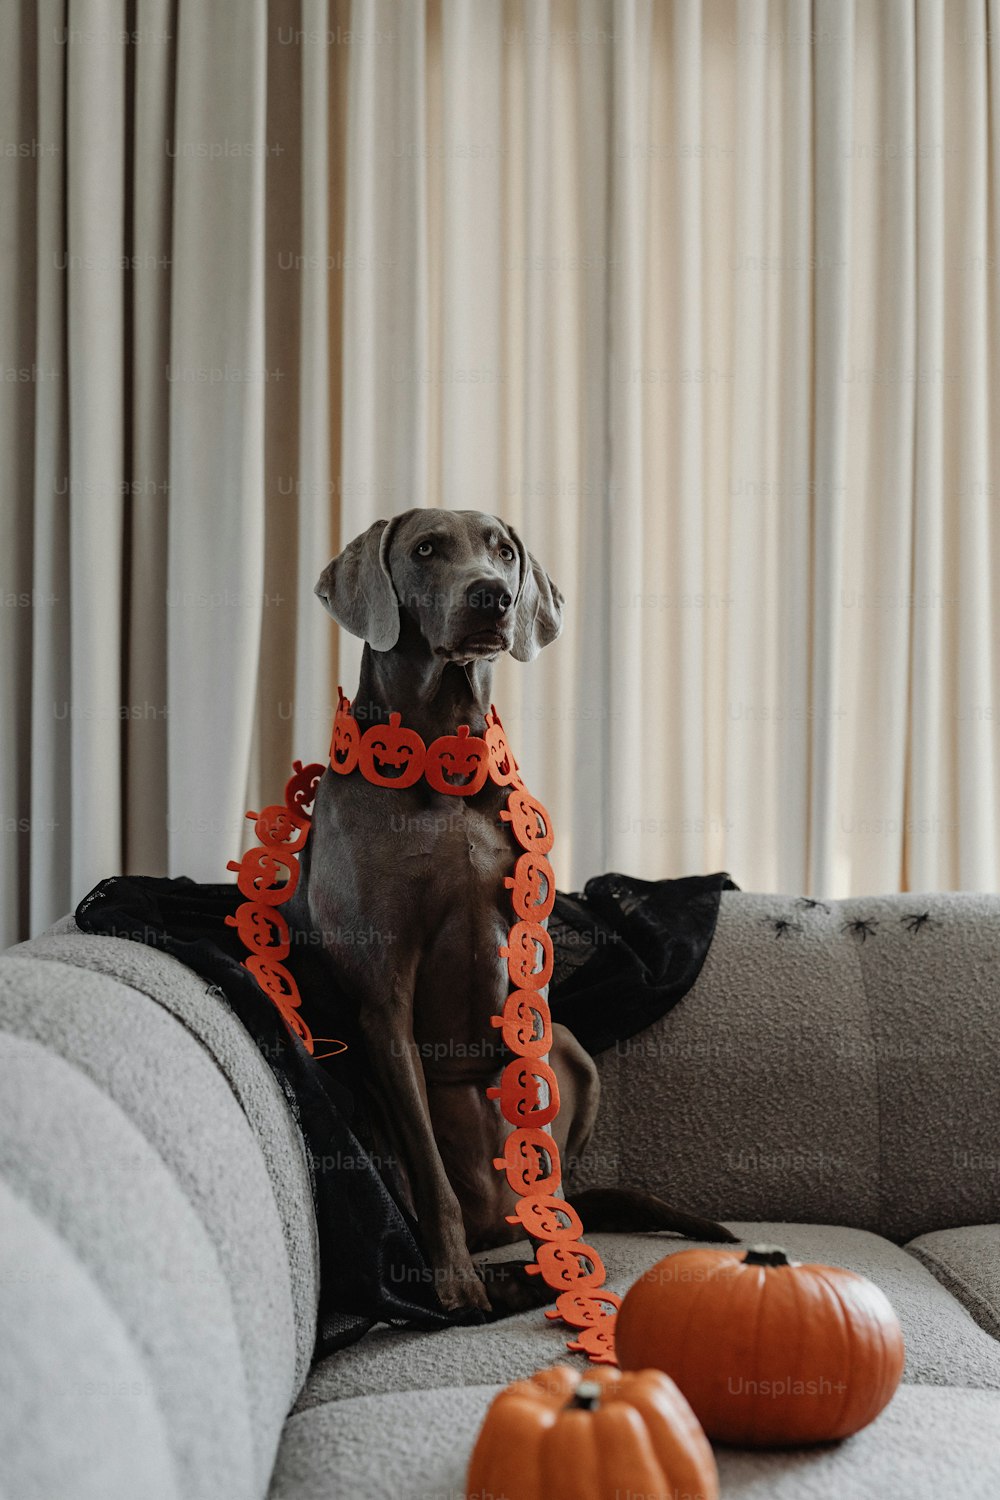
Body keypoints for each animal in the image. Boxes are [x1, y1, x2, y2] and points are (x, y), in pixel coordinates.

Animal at [289, 510, 734, 1320]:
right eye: (426, 549)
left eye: (503, 550)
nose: (492, 596)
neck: (444, 758)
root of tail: (493, 1217)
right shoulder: (382, 998)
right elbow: (430, 1176)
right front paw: (457, 1284)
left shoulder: (533, 980)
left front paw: (560, 1255)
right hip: (366, 1103)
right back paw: (496, 1278)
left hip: (574, 1048)